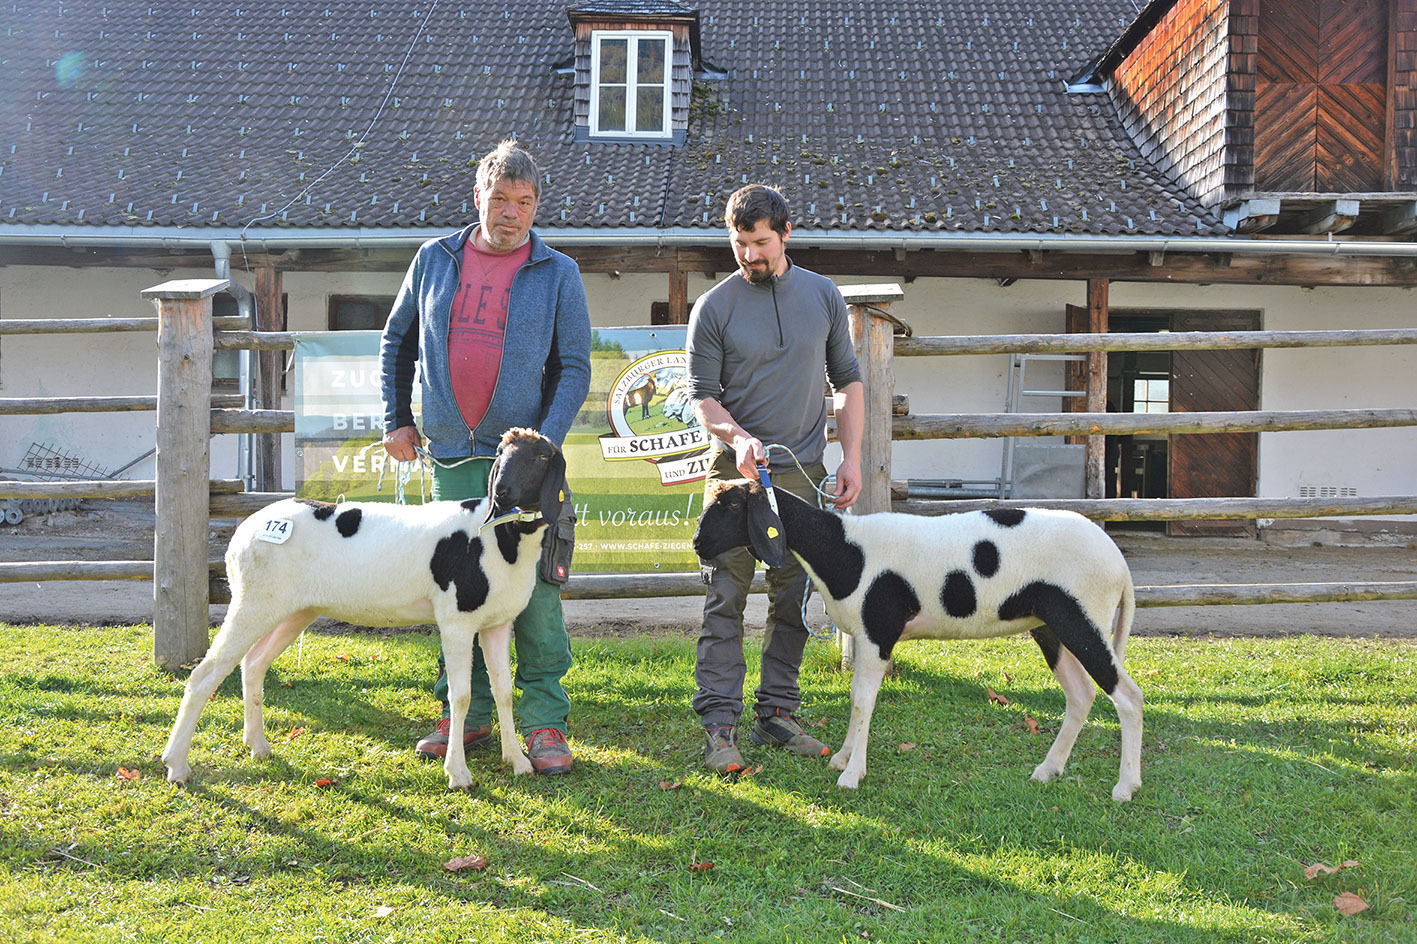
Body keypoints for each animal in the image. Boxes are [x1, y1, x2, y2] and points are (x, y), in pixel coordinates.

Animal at [162, 425, 569, 788]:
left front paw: (518, 761)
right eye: (499, 454)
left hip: (293, 609)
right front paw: (458, 774)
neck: (502, 535)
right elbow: (462, 696)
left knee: (253, 663)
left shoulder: (498, 623)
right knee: (205, 675)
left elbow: (504, 692)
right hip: (253, 601)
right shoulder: (456, 622)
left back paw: (258, 746)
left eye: (542, 456)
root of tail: (245, 530)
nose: (502, 491)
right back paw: (176, 765)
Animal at [691, 481, 1144, 799]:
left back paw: (1125, 787)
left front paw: (852, 774)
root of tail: (1120, 564)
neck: (844, 550)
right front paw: (842, 758)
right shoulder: (865, 638)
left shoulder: (878, 632)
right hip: (1051, 627)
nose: (697, 543)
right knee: (1082, 696)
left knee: (1128, 697)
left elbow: (863, 700)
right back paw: (1048, 771)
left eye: (732, 506)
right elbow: (857, 699)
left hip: (1083, 619)